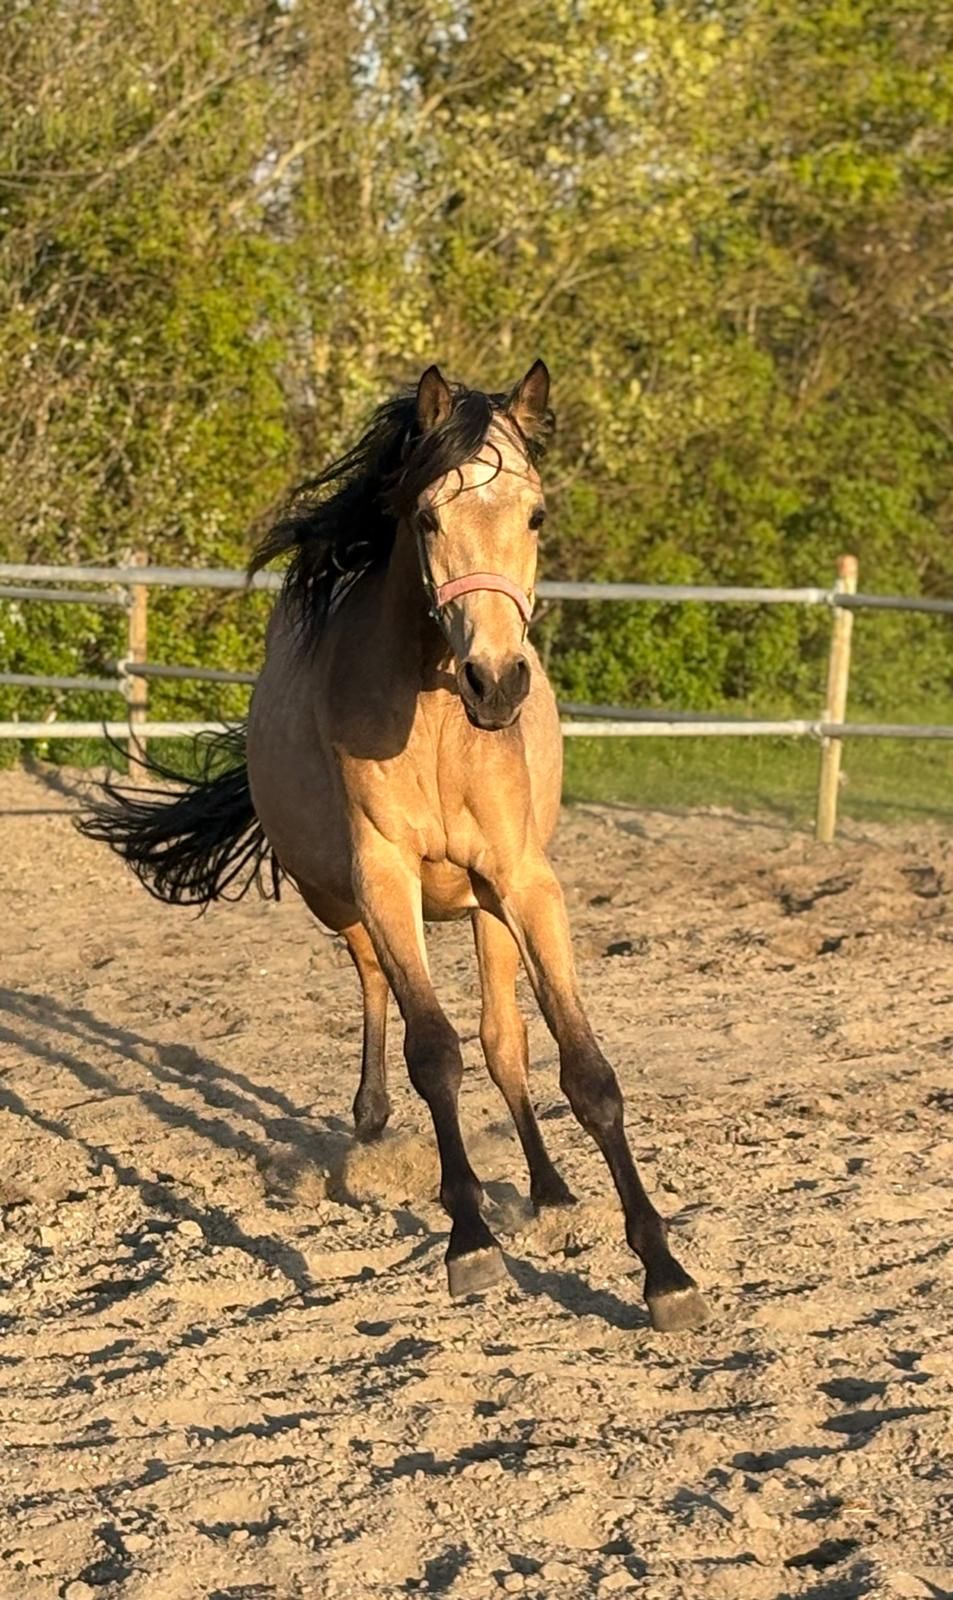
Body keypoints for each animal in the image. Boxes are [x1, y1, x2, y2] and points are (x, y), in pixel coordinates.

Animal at [81, 361, 708, 1332]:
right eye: (427, 519)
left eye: (535, 515)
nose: (497, 683)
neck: (439, 724)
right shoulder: (383, 879)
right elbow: (433, 1053)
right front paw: (469, 1244)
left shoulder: (525, 884)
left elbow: (582, 1068)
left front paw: (664, 1273)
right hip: (336, 897)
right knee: (377, 982)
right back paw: (371, 1118)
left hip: (486, 910)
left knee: (503, 1039)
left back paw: (550, 1192)